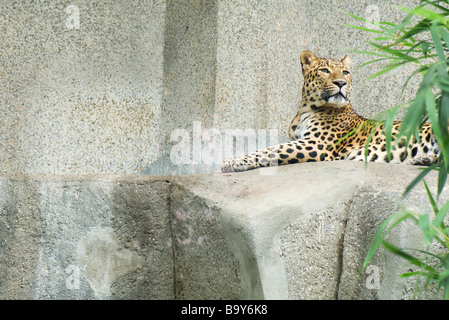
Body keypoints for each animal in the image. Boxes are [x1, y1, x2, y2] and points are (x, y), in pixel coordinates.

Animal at [220, 50, 438, 172]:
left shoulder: (316, 144)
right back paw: (423, 159)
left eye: (346, 72)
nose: (341, 83)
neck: (305, 108)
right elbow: (270, 149)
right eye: (325, 71)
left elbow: (271, 150)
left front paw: (233, 162)